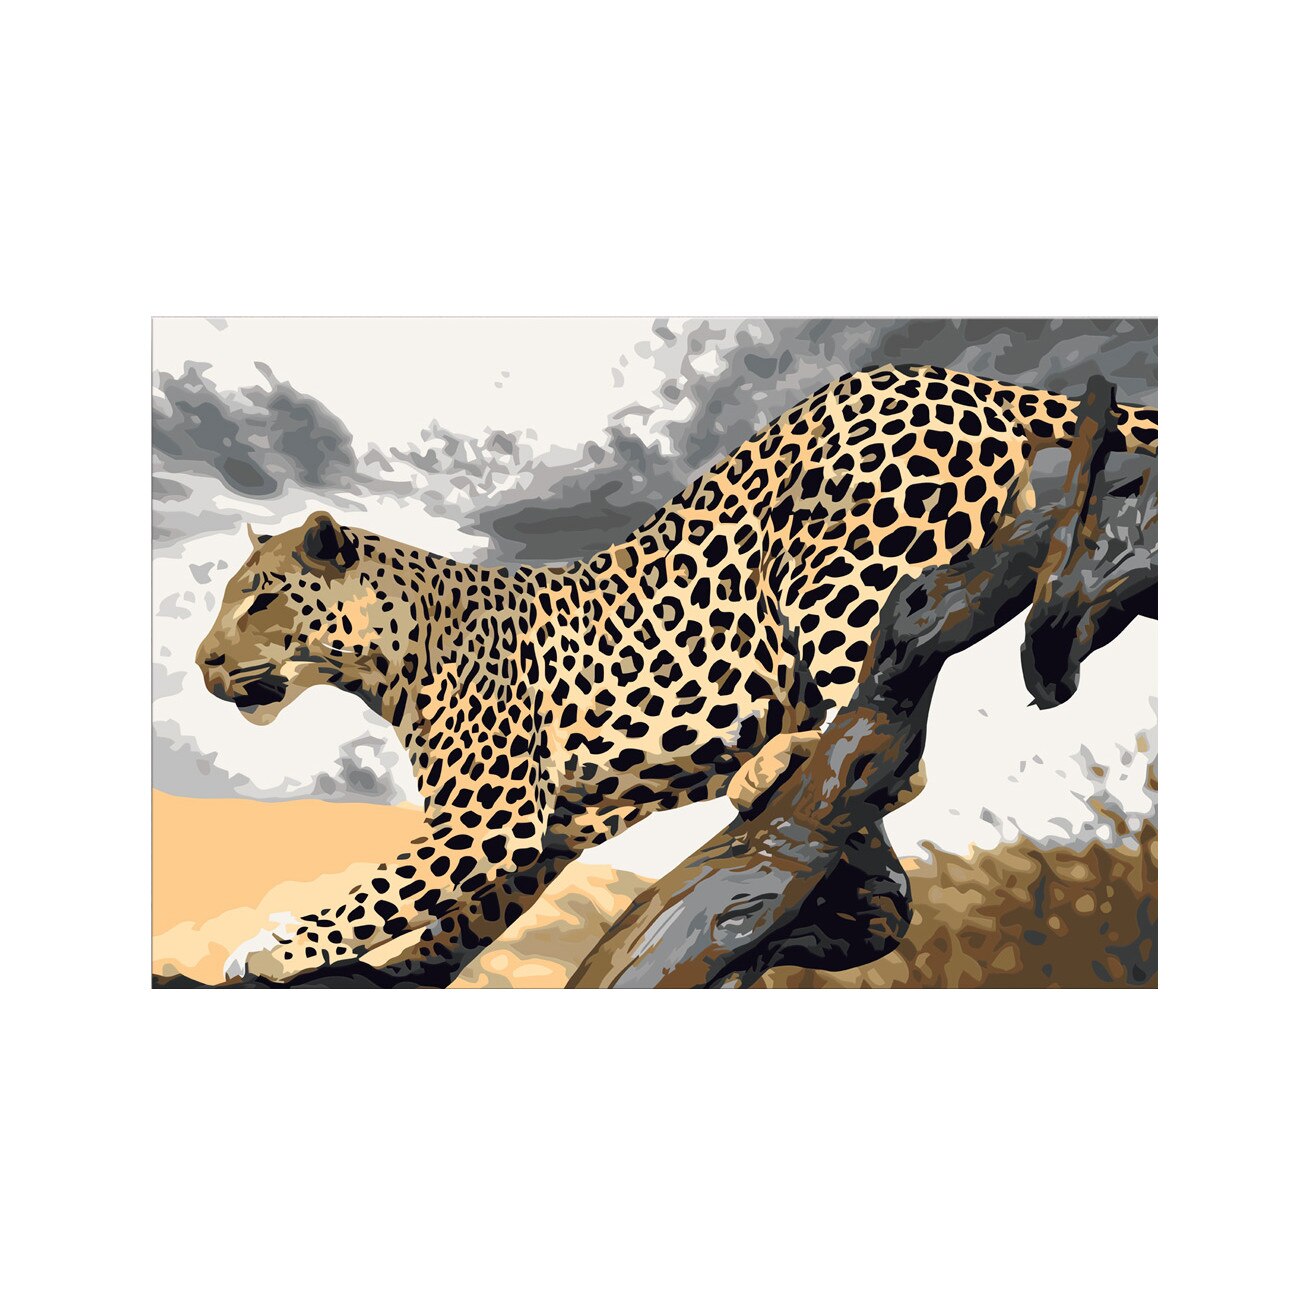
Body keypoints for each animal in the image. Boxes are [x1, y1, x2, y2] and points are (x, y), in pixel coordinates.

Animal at [192, 363, 1159, 986]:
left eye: (262, 597)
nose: (203, 664)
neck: (388, 656)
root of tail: (957, 378)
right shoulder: (546, 833)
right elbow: (456, 916)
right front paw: (403, 970)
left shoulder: (490, 817)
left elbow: (383, 888)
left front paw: (279, 948)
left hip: (842, 567)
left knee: (889, 722)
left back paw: (773, 764)